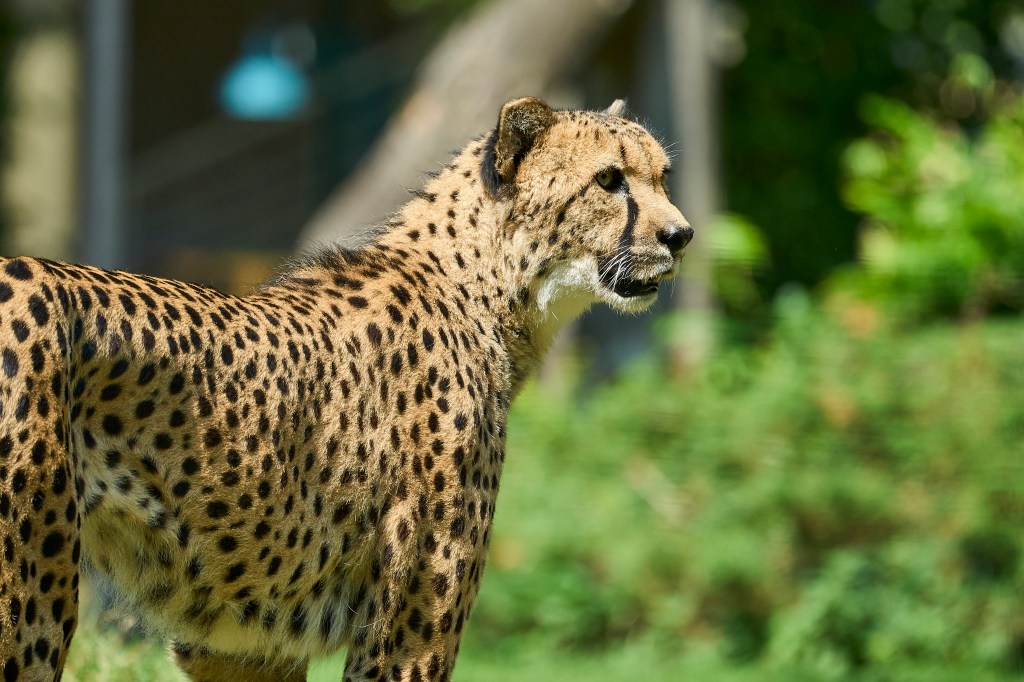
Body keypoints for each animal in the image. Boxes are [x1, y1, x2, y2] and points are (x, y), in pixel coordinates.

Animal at [0, 96, 692, 679]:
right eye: (609, 180)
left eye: (662, 176)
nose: (680, 236)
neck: (484, 290)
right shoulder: (409, 636)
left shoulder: (241, 648)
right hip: (30, 607)